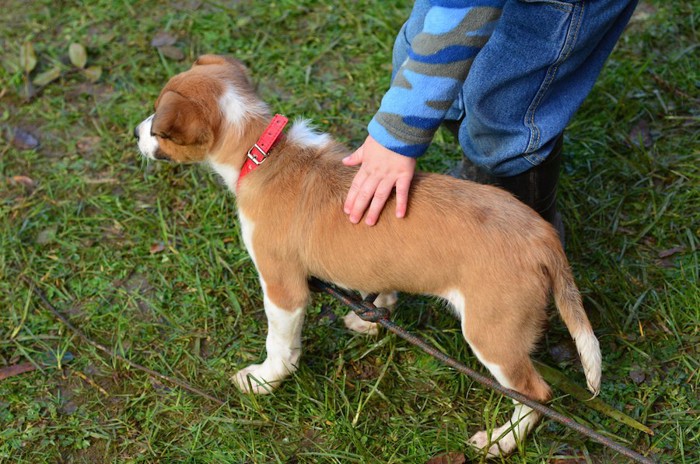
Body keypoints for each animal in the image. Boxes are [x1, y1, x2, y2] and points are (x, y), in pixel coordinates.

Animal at [135, 55, 600, 456]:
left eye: (158, 127)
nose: (135, 133)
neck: (264, 151)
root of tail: (541, 237)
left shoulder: (283, 287)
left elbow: (279, 344)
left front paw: (264, 380)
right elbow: (377, 290)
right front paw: (371, 315)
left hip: (493, 334)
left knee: (536, 395)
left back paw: (500, 441)